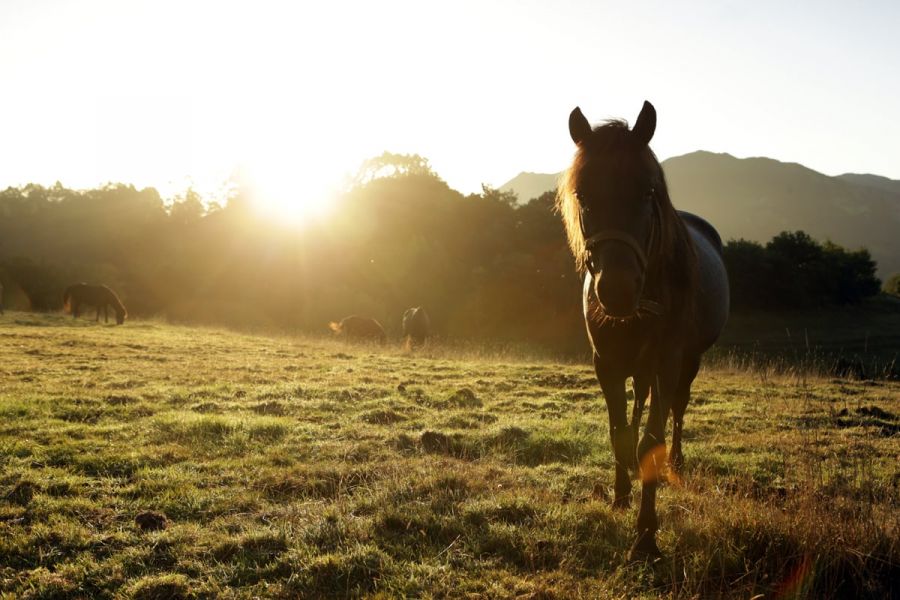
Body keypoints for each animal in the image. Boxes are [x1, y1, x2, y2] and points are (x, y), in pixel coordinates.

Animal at [556, 101, 729, 559]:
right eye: (583, 194)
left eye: (648, 192)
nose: (616, 290)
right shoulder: (606, 362)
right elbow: (619, 432)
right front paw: (620, 498)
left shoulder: (669, 359)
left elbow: (654, 436)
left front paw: (646, 535)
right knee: (640, 403)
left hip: (689, 361)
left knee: (678, 409)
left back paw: (677, 462)